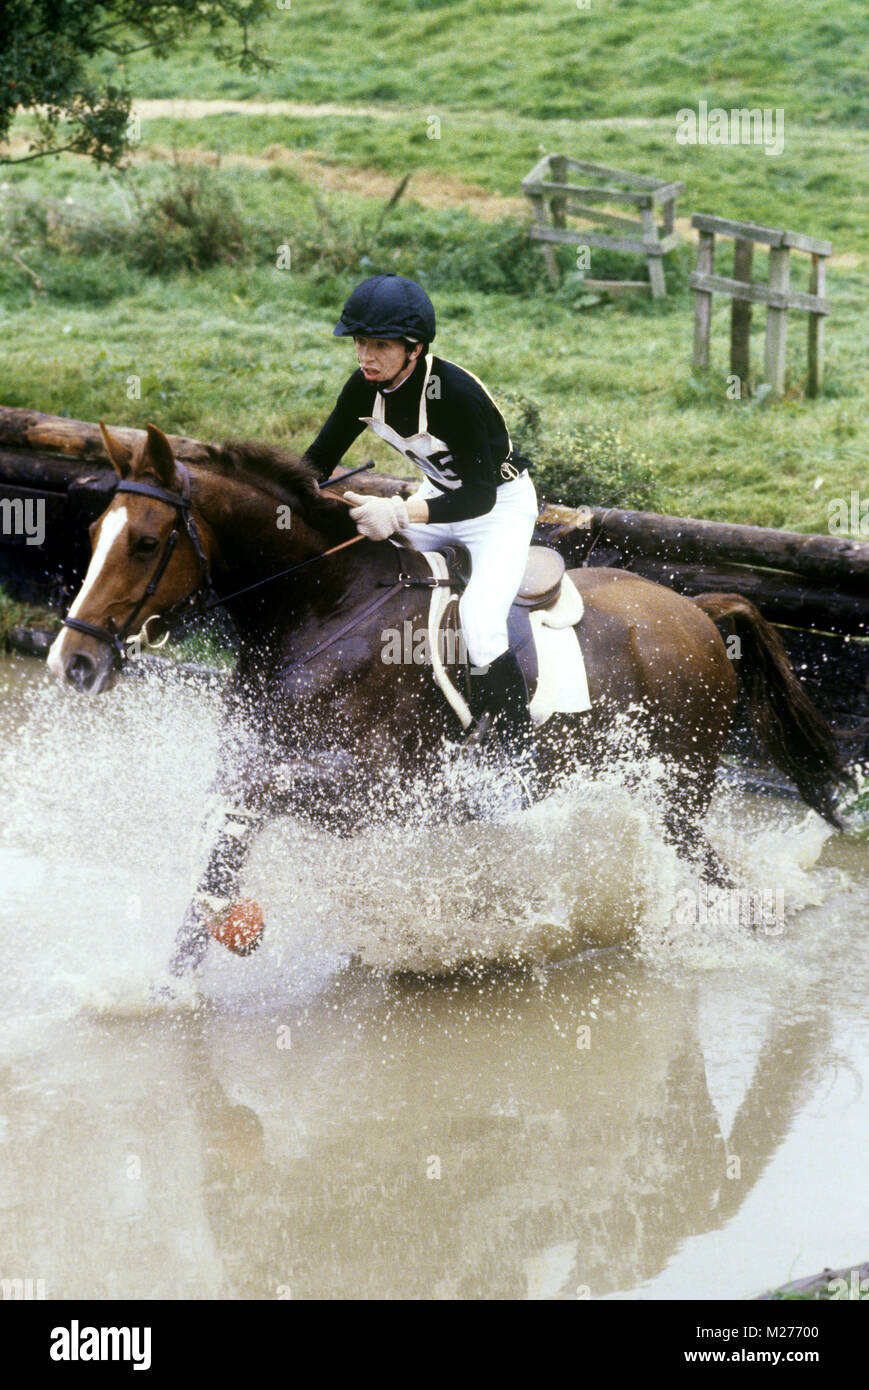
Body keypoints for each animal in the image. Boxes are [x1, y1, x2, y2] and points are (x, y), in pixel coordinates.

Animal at [47, 417, 845, 973]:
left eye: (146, 544)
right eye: (91, 532)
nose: (72, 663)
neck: (322, 608)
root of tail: (697, 610)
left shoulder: (364, 795)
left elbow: (246, 822)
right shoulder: (258, 763)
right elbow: (221, 850)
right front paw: (165, 988)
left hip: (674, 789)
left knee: (710, 874)